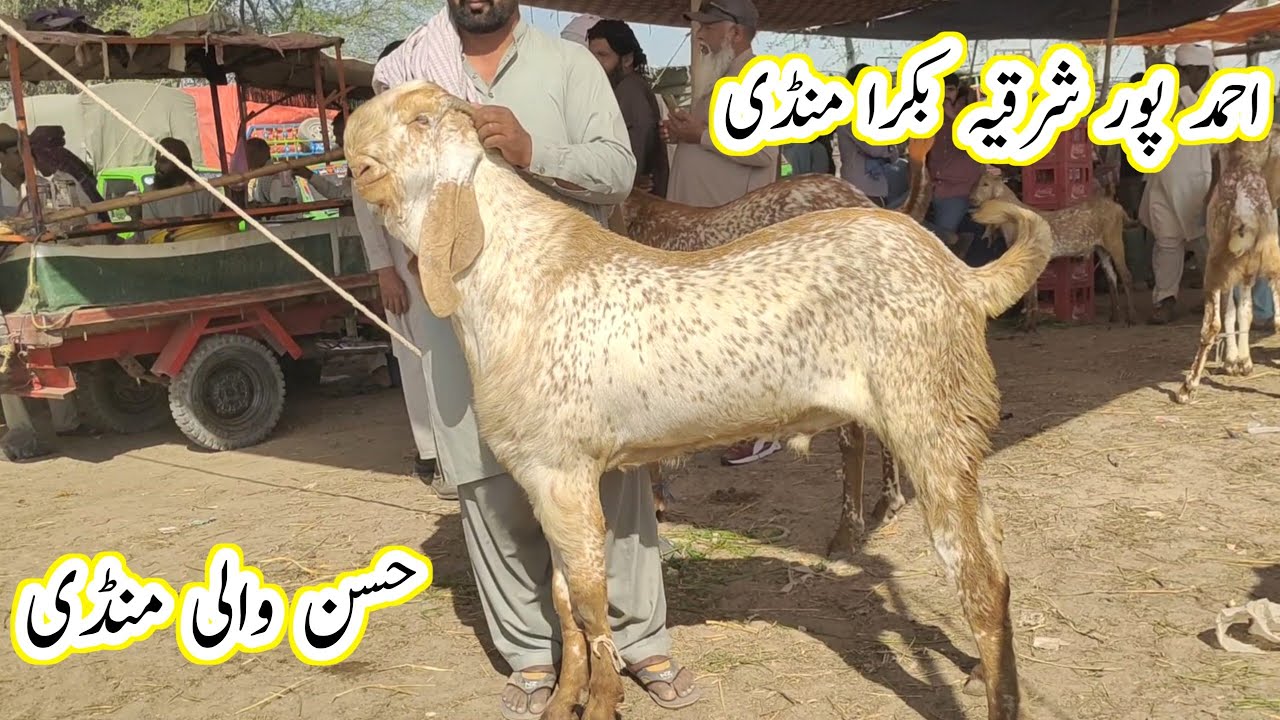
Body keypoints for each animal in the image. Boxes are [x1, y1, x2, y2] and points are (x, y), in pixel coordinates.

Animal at [970, 172, 1136, 329]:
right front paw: (1030, 324)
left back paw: (1130, 318)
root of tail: (1119, 208)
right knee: (1111, 276)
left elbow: (1030, 292)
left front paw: (1029, 326)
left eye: (985, 184)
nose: (972, 199)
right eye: (975, 183)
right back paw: (1114, 316)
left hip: (1115, 241)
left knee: (1126, 276)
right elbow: (1031, 292)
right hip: (1101, 248)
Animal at [1176, 135, 1280, 403]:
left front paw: (1233, 362)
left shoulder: (1229, 269)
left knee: (1211, 324)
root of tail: (1244, 215)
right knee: (1277, 320)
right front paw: (1242, 363)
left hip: (1215, 268)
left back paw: (1187, 387)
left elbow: (1230, 311)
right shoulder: (1246, 269)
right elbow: (1244, 309)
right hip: (1269, 263)